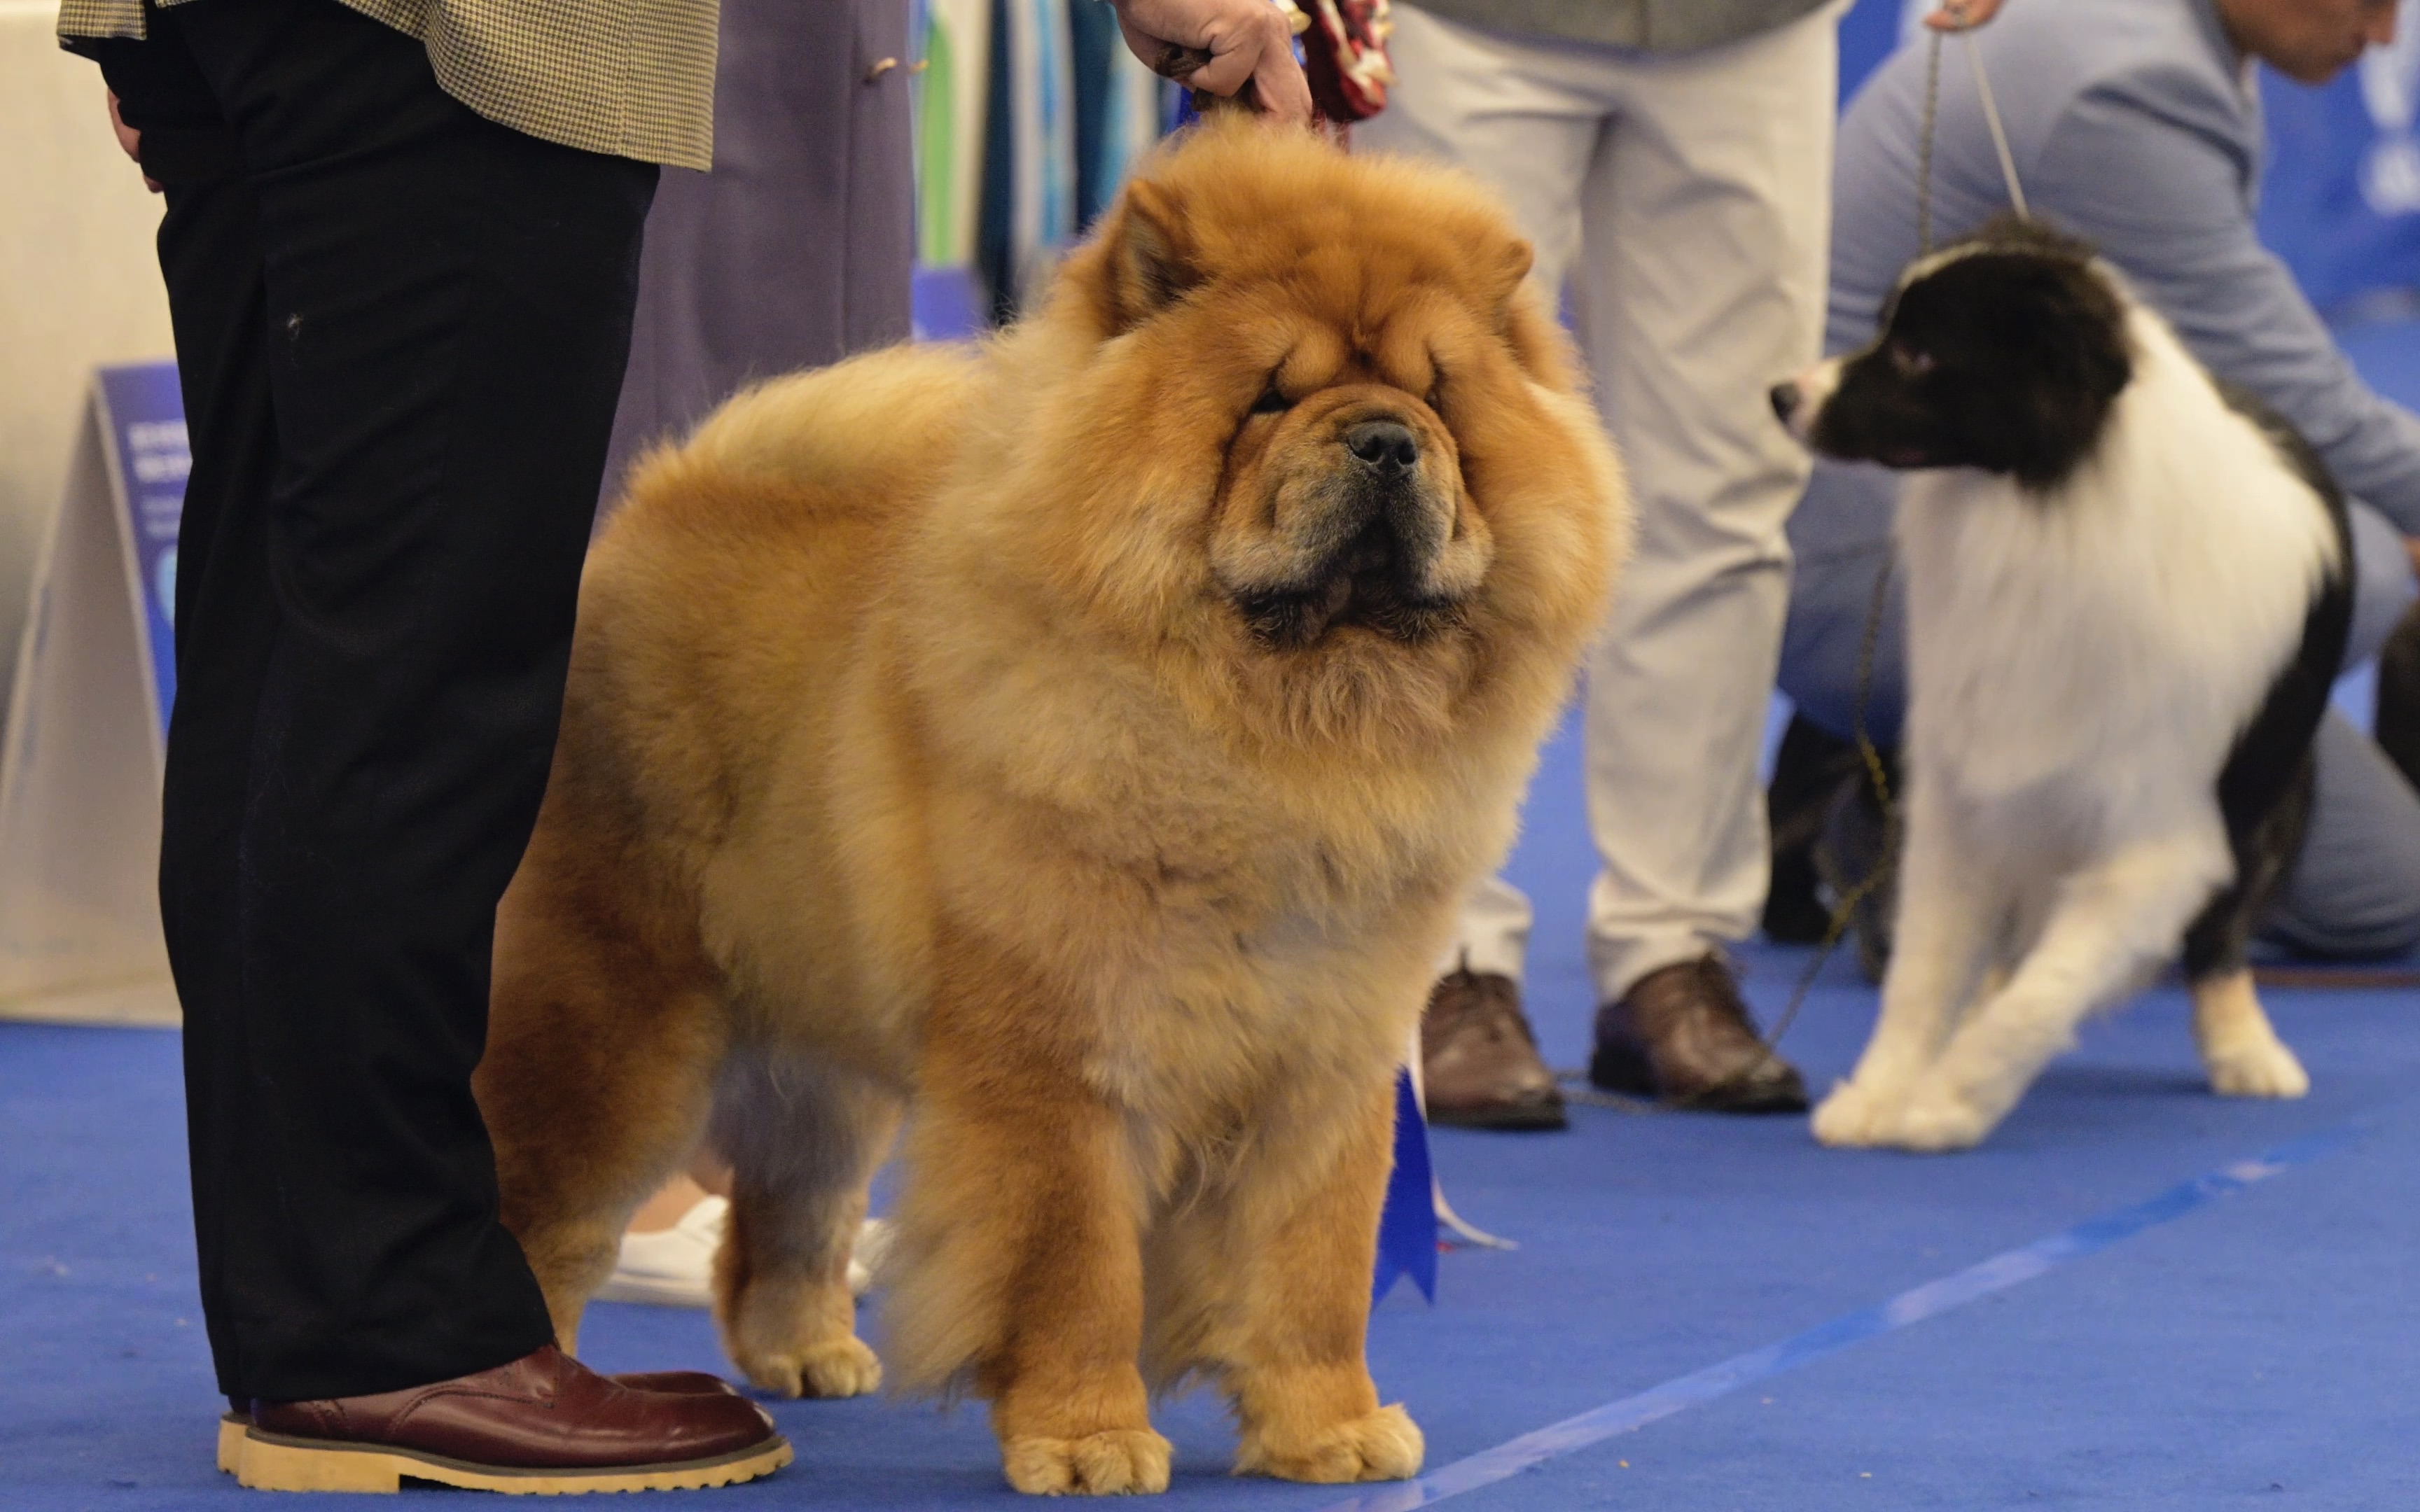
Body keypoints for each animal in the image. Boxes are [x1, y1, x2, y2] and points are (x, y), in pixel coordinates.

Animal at [471, 115, 1626, 1490]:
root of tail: (662, 502)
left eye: (1439, 399)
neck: (1279, 741)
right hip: (618, 1016)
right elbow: (1076, 1265)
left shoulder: (1328, 1059)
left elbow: (1311, 1267)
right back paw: (541, 1398)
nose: (1387, 439)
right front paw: (1088, 1440)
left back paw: (808, 1354)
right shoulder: (1063, 1057)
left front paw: (1331, 1430)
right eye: (1270, 399)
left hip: (824, 1044)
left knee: (791, 1201)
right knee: (553, 1199)